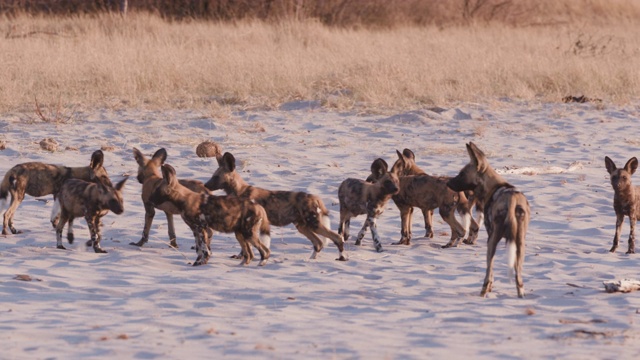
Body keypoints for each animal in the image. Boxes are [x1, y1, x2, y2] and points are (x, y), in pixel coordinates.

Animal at [205, 152, 348, 262]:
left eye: (216, 177)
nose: (205, 185)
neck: (239, 191)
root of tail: (314, 196)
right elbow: (246, 244)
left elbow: (246, 245)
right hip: (302, 226)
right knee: (318, 243)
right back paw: (311, 259)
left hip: (313, 224)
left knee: (336, 237)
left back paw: (341, 257)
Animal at [444, 143, 528, 298]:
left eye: (462, 174)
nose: (448, 183)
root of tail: (512, 199)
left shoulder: (491, 237)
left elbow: (491, 271)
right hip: (520, 244)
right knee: (519, 278)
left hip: (492, 242)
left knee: (488, 272)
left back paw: (482, 293)